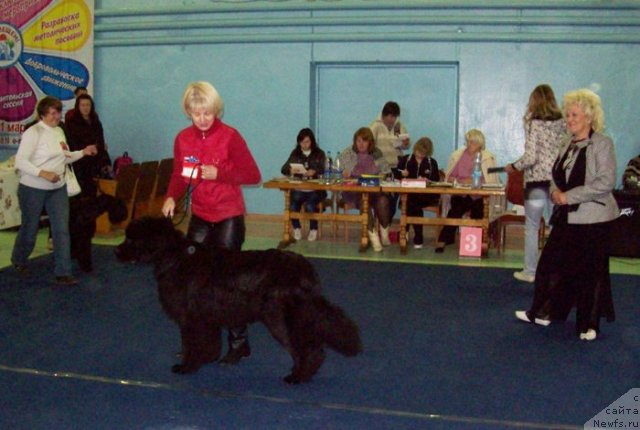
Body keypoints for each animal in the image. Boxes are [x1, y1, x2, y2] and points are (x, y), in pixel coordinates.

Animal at [115, 217, 362, 384]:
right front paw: (206, 359)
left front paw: (186, 366)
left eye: (131, 238)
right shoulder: (205, 316)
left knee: (307, 350)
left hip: (280, 318)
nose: (117, 252)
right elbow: (207, 343)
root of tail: (304, 268)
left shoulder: (190, 317)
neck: (174, 258)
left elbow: (191, 343)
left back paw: (297, 377)